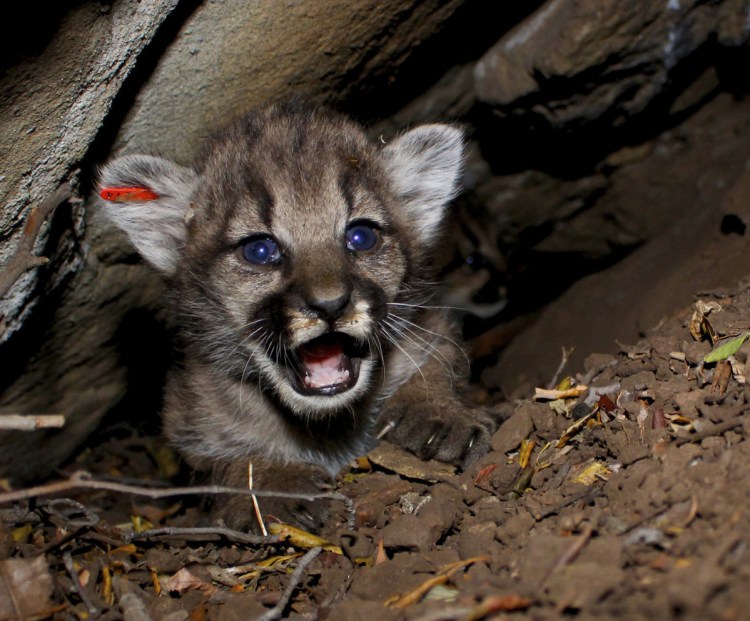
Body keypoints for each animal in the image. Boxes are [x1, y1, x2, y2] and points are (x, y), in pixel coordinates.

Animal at [100, 104, 500, 532]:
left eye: (361, 236)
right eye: (259, 250)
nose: (330, 304)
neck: (328, 426)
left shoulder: (430, 325)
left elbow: (441, 358)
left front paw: (436, 412)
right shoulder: (186, 415)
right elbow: (221, 458)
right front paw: (271, 483)